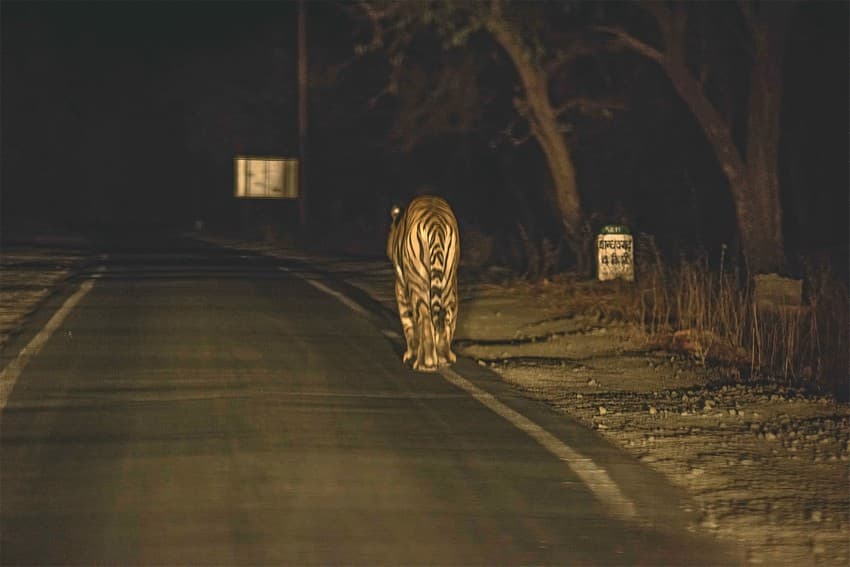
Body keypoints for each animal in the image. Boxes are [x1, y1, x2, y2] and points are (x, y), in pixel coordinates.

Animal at [388, 195, 460, 372]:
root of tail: (436, 222)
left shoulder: (400, 286)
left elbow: (407, 321)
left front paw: (410, 354)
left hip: (417, 282)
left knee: (425, 317)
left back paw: (424, 363)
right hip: (448, 283)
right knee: (445, 315)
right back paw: (444, 357)